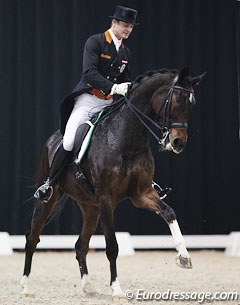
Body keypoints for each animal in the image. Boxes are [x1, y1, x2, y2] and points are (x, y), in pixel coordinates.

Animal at [21, 66, 204, 296]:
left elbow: (169, 212)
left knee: (81, 245)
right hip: (49, 198)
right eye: (177, 99)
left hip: (91, 208)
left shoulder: (141, 194)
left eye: (192, 104)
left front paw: (184, 256)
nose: (178, 143)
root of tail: (53, 139)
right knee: (32, 237)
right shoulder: (107, 200)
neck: (127, 139)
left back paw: (88, 286)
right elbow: (112, 246)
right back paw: (25, 286)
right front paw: (116, 289)